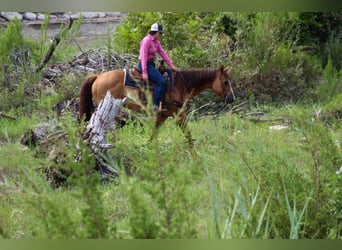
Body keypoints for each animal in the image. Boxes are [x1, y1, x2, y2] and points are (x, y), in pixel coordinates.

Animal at [79, 64, 235, 145]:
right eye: (225, 82)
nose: (232, 98)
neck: (182, 84)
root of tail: (98, 77)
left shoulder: (163, 114)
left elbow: (154, 132)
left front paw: (147, 146)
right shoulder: (179, 115)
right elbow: (188, 135)